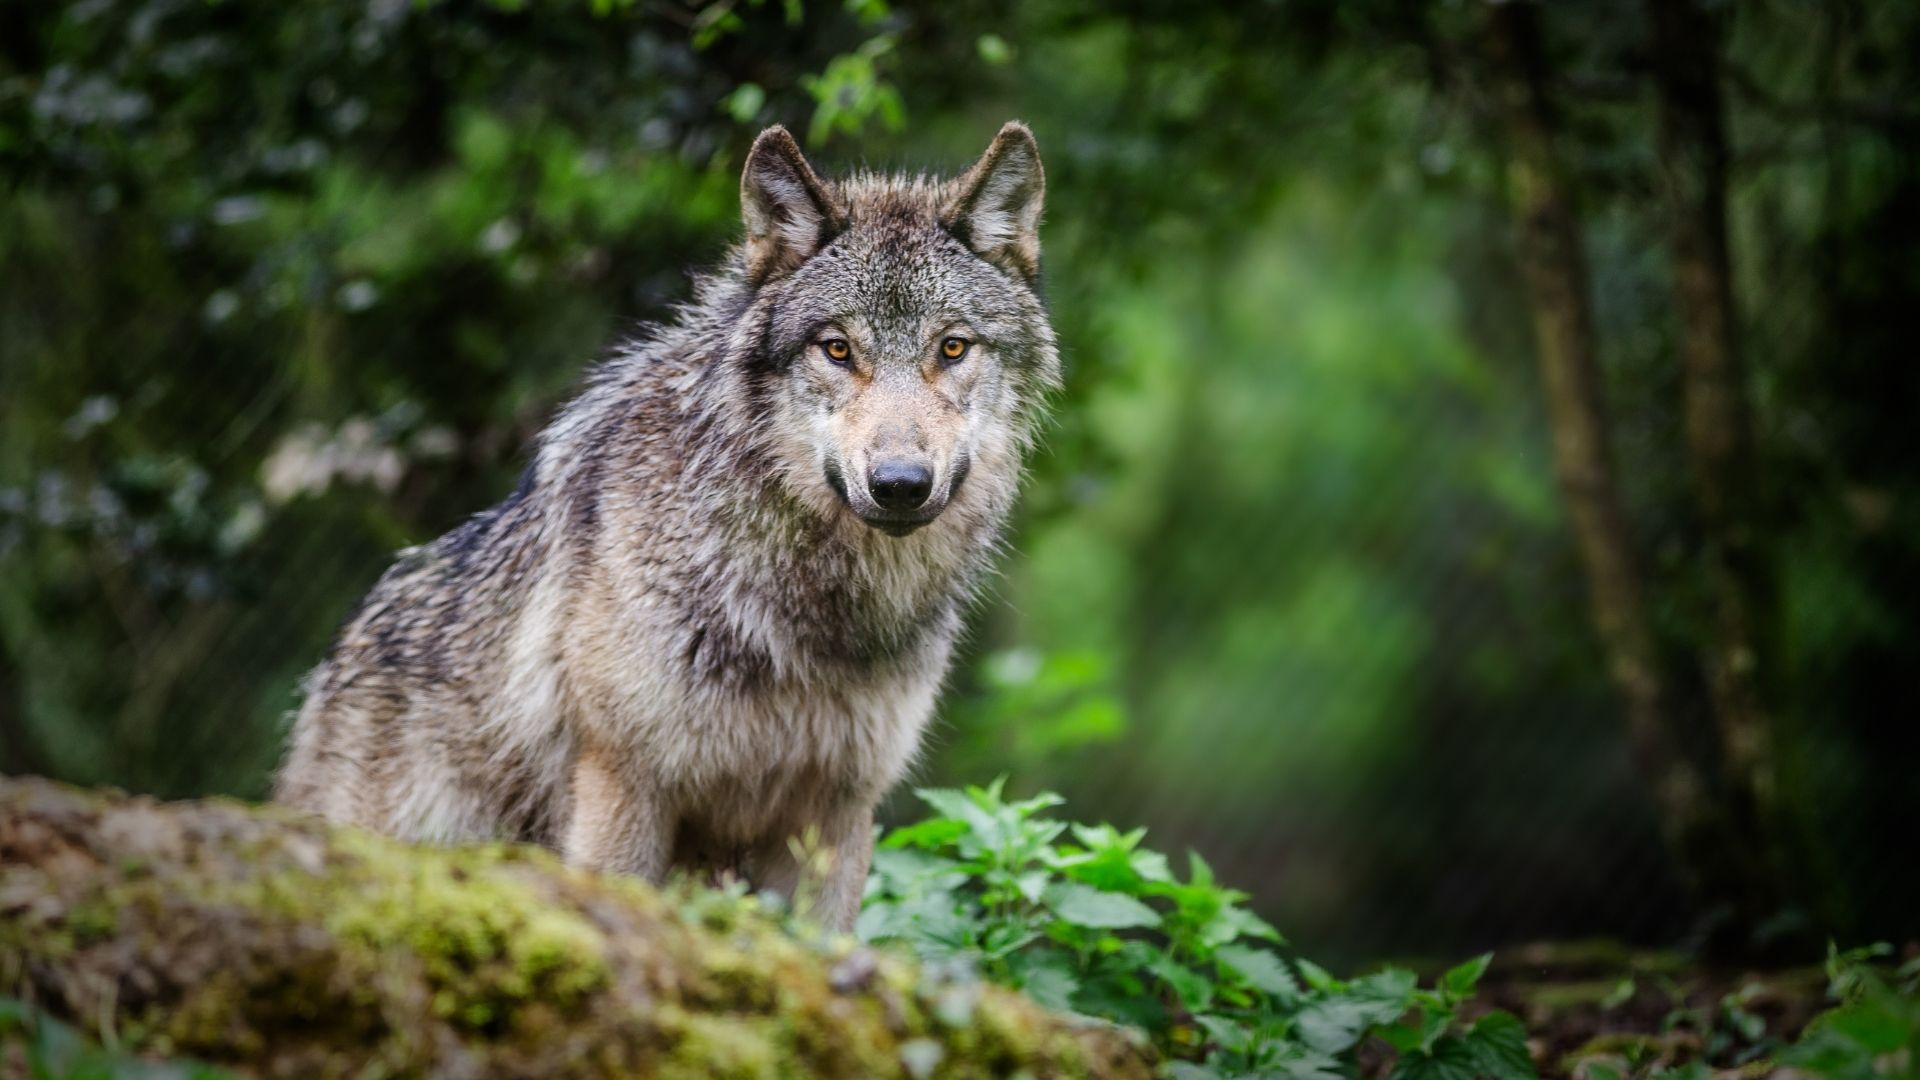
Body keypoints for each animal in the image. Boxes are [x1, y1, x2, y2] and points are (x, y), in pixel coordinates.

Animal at [274, 122, 1057, 929]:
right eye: (837, 349)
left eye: (953, 348)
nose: (900, 485)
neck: (810, 613)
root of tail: (337, 661)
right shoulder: (623, 786)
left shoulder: (836, 815)